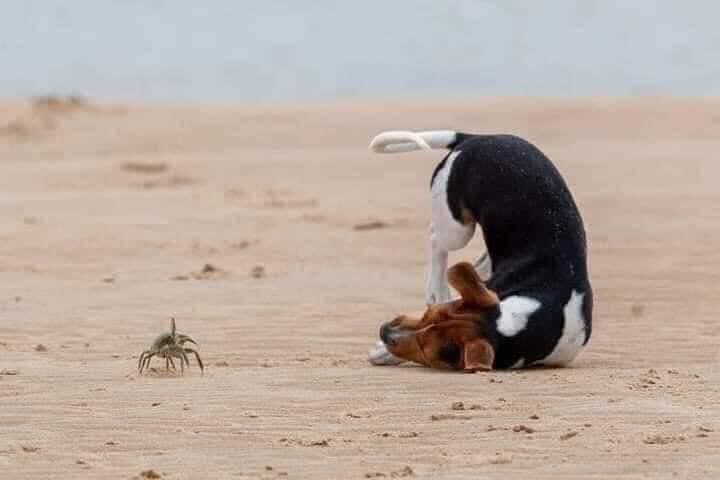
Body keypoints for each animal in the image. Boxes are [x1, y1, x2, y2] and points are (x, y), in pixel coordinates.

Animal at [368, 131, 592, 372]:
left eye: (427, 351)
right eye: (427, 315)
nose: (383, 330)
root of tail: (476, 138)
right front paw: (382, 352)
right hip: (457, 229)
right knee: (436, 239)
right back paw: (437, 288)